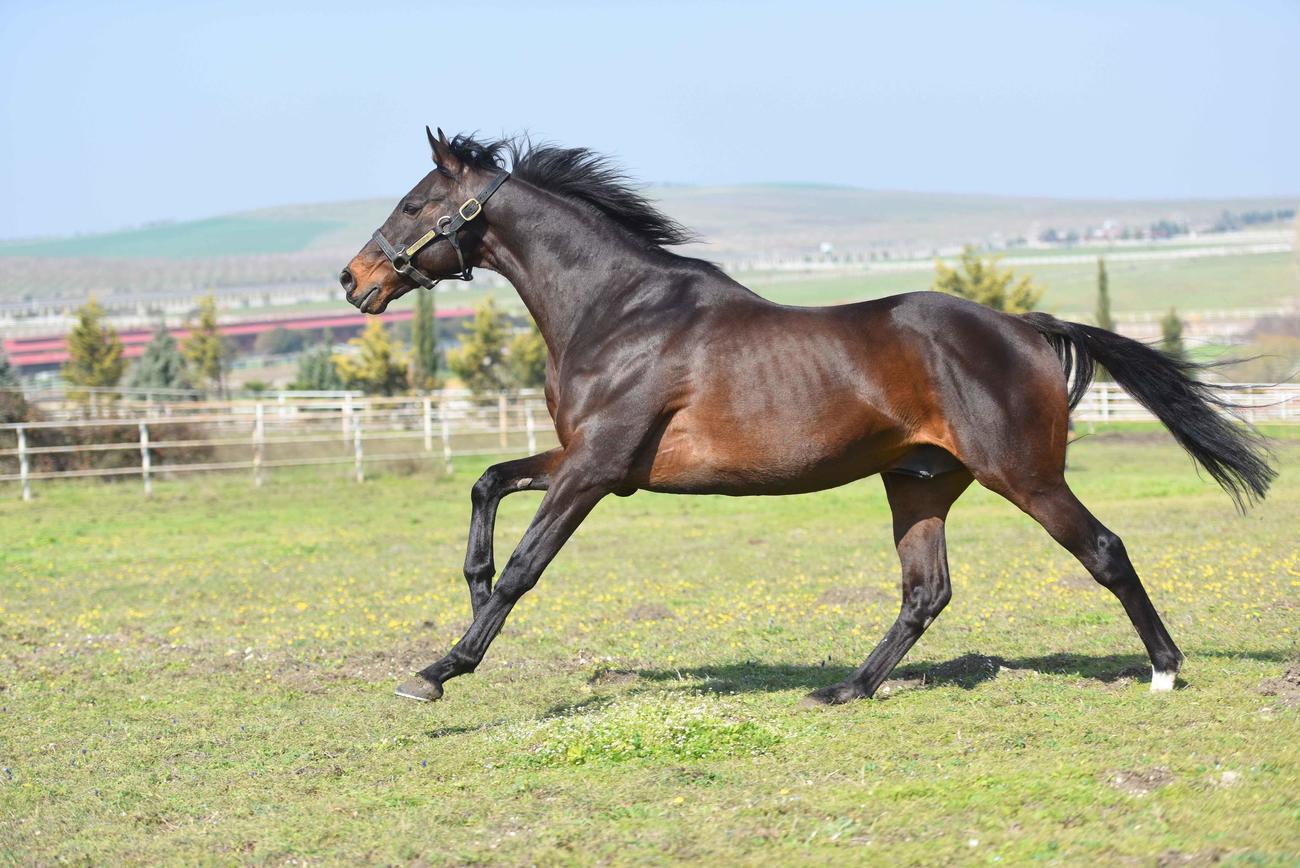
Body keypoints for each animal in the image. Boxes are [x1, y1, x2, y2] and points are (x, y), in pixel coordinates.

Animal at [340, 127, 1275, 706]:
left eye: (417, 204)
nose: (354, 280)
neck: (620, 308)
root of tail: (1025, 326)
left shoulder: (597, 468)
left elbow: (525, 568)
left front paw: (439, 669)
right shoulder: (588, 459)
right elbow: (487, 483)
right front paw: (466, 591)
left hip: (1025, 475)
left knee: (1104, 551)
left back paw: (1164, 671)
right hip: (920, 483)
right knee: (925, 591)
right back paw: (847, 688)